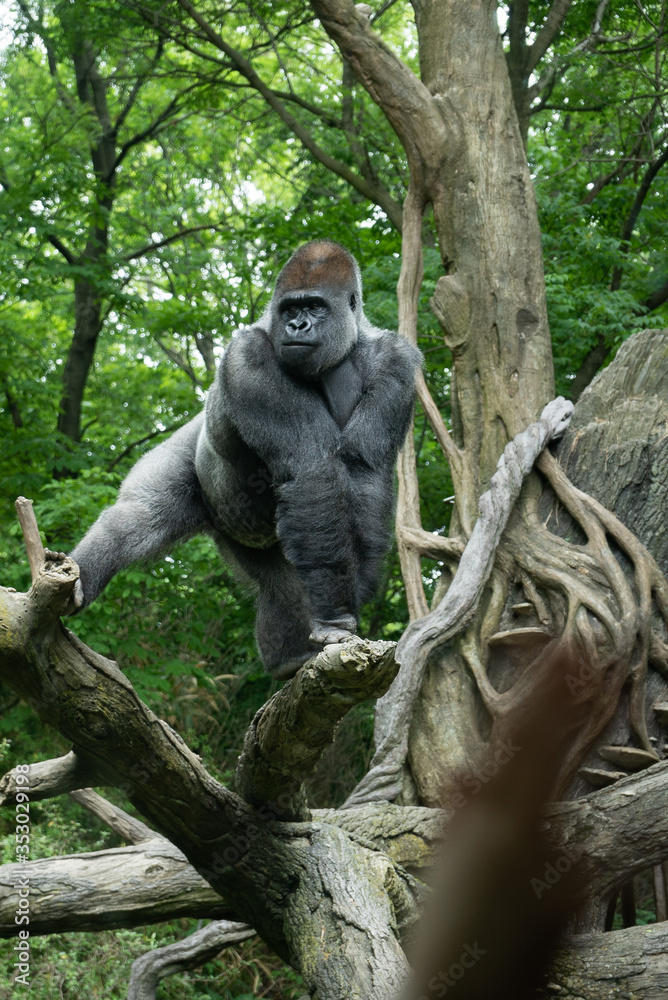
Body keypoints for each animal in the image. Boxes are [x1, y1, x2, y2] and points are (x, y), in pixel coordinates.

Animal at [69, 240, 422, 677]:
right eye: (289, 310)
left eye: (315, 307)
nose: (297, 327)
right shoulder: (247, 356)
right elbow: (311, 469)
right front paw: (337, 612)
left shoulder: (398, 360)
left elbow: (364, 471)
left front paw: (348, 598)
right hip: (195, 462)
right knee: (138, 517)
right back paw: (79, 577)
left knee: (276, 580)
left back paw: (289, 659)